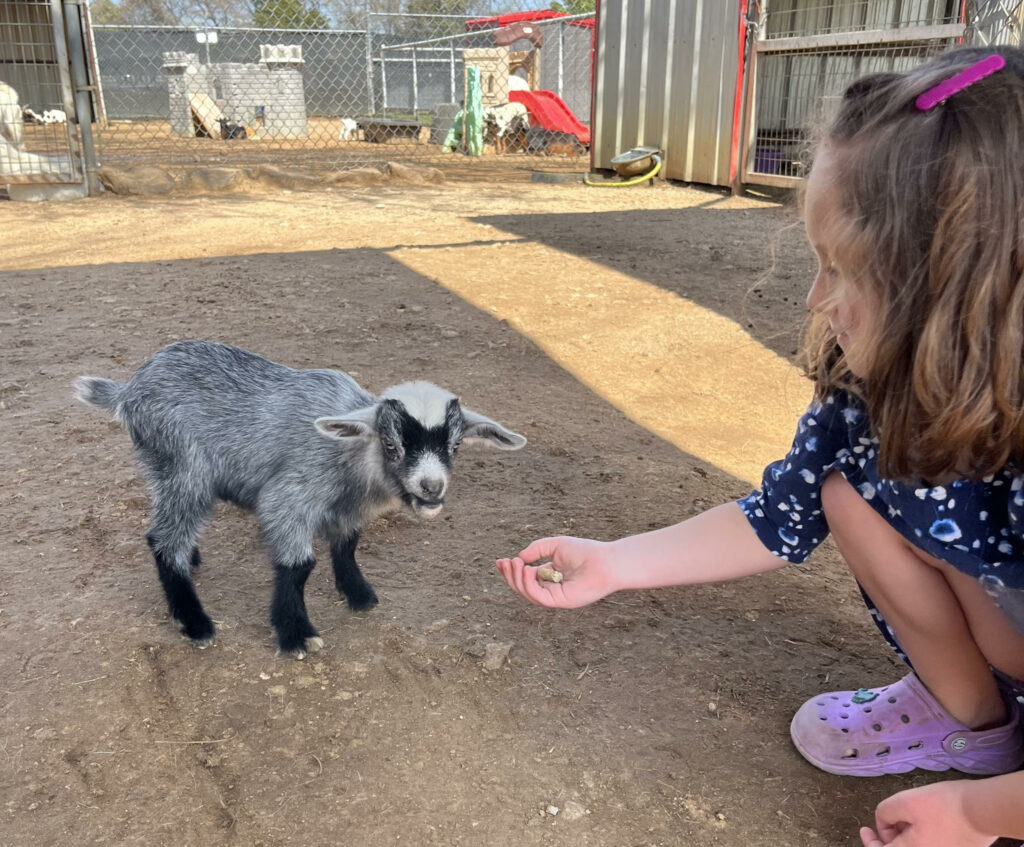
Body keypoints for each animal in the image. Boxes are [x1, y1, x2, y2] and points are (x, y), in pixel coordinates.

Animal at [75, 341, 527, 657]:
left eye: (455, 445)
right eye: (391, 444)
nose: (431, 487)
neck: (353, 458)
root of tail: (128, 390)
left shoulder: (345, 509)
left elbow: (347, 545)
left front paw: (357, 593)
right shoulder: (288, 498)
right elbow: (298, 565)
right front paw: (296, 633)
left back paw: (193, 559)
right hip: (184, 469)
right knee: (163, 538)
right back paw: (194, 621)